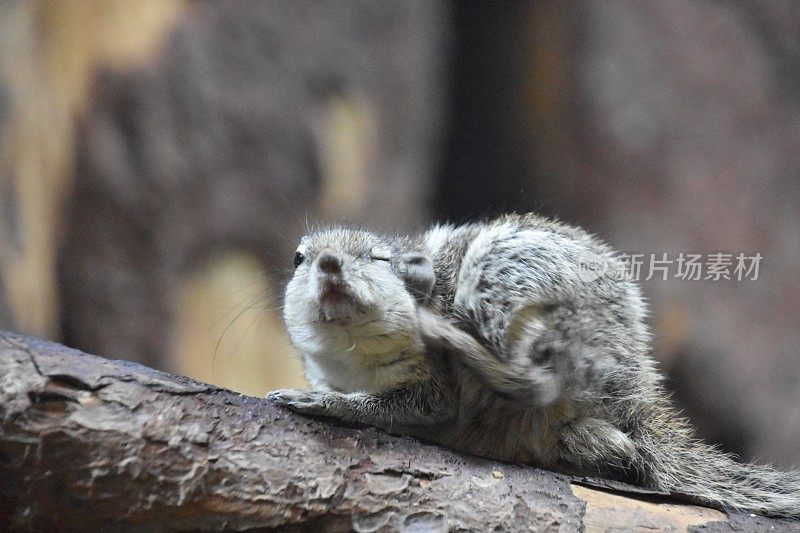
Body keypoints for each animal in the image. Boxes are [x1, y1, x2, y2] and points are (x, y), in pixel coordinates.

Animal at [268, 211, 800, 516]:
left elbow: (409, 408)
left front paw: (323, 403)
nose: (330, 264)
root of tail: (637, 389)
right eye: (299, 258)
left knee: (537, 381)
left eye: (377, 259)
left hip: (506, 276)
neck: (353, 359)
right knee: (615, 447)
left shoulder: (431, 383)